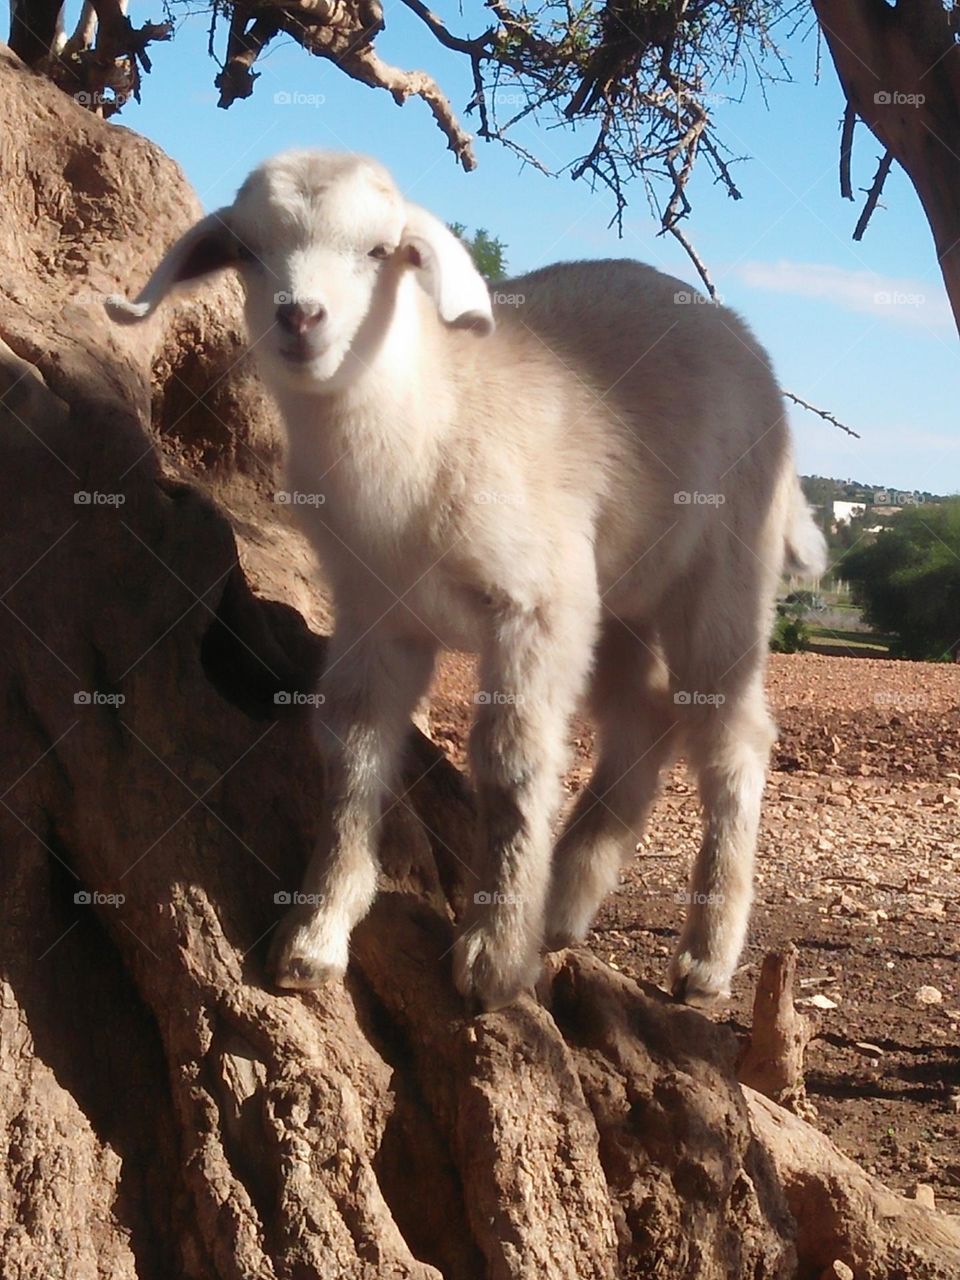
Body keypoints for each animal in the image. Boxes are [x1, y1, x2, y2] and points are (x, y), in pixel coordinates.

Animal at [104, 149, 829, 1008]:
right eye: (246, 251)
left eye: (381, 250)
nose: (299, 317)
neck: (431, 416)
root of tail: (740, 336)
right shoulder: (374, 613)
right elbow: (352, 752)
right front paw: (314, 938)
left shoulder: (537, 604)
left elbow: (512, 764)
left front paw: (491, 959)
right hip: (617, 598)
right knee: (644, 719)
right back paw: (566, 904)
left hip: (721, 570)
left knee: (732, 736)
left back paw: (704, 959)